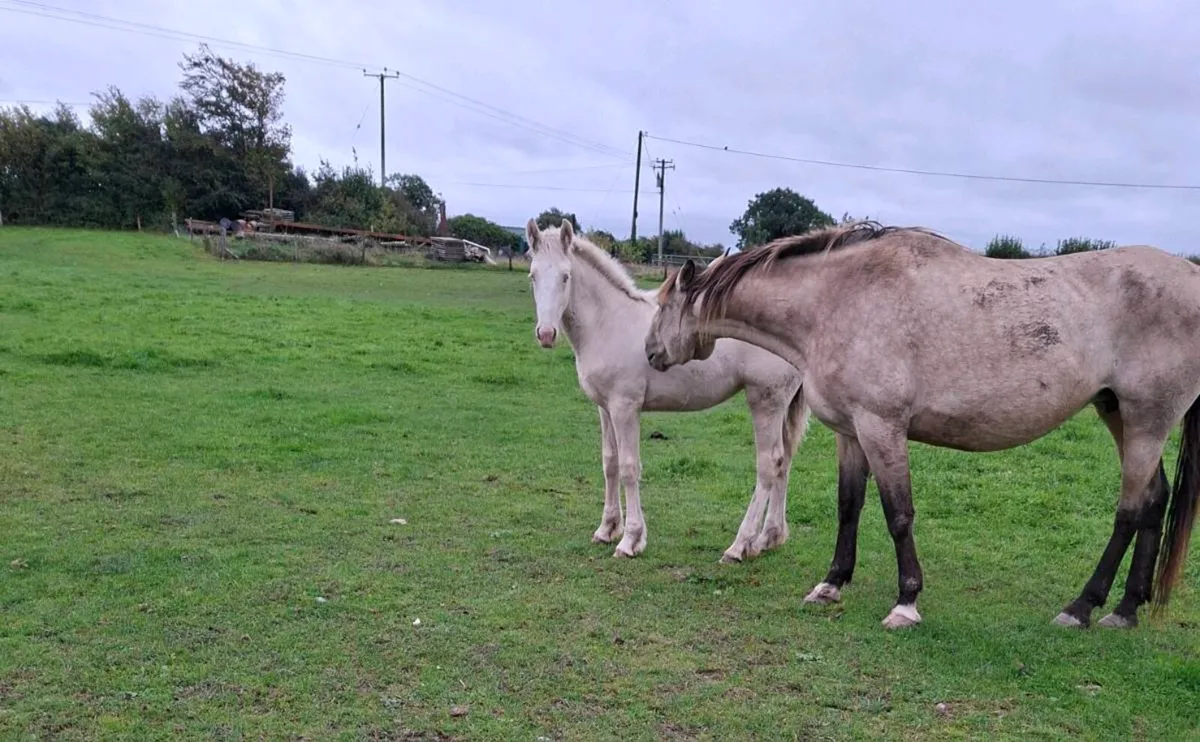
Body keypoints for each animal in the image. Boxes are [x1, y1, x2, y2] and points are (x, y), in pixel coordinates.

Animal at [524, 218, 811, 562]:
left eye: (566, 276)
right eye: (533, 275)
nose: (546, 334)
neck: (609, 323)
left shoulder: (625, 407)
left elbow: (629, 467)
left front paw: (630, 540)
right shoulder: (604, 407)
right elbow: (609, 463)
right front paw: (607, 529)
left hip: (765, 400)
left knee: (769, 464)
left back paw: (740, 545)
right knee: (785, 462)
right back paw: (768, 537)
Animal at [644, 220, 1200, 630]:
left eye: (663, 304)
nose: (650, 353)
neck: (839, 298)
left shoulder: (882, 427)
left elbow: (898, 514)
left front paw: (906, 603)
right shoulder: (850, 433)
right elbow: (849, 507)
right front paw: (830, 584)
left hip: (1147, 420)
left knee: (1130, 511)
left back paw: (1082, 608)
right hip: (1118, 413)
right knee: (1155, 500)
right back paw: (1127, 609)